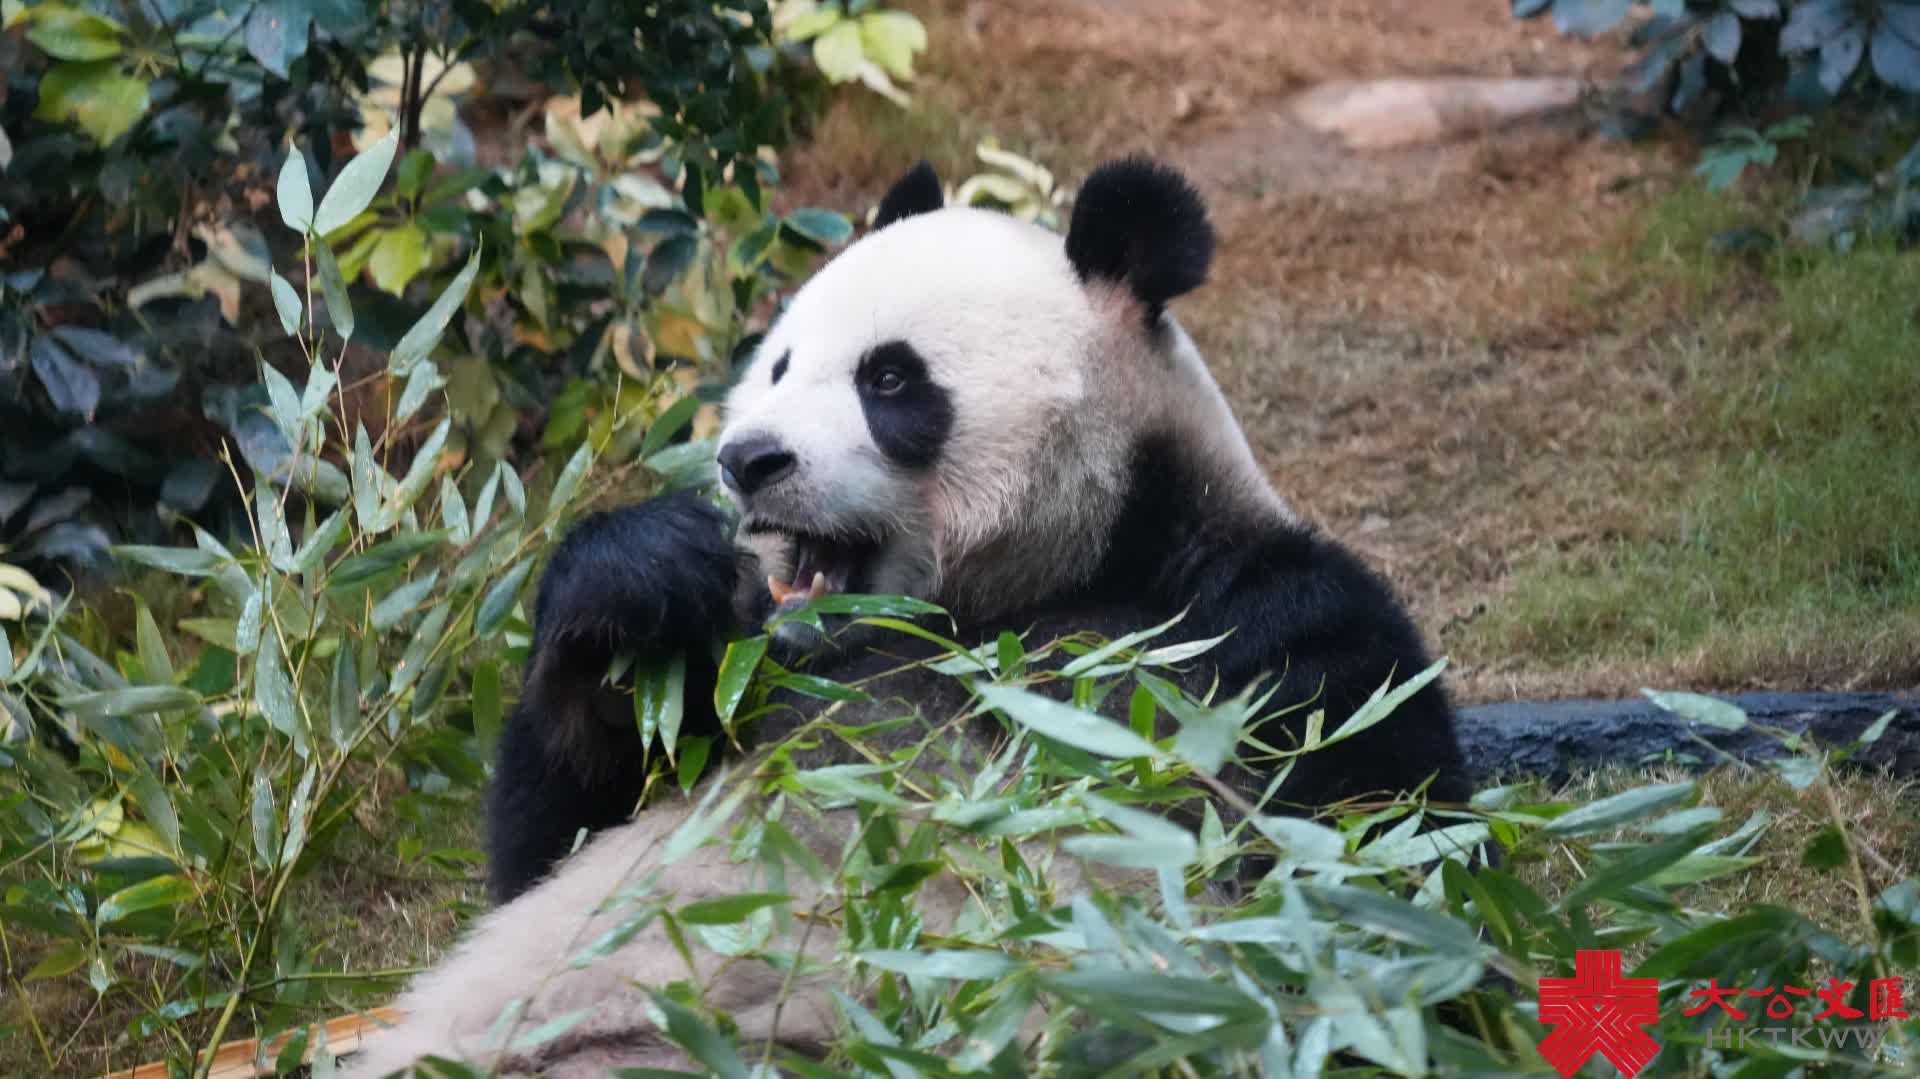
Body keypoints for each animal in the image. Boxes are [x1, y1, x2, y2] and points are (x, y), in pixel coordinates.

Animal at [345, 155, 1474, 1067]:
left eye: (890, 378)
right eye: (781, 364)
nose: (748, 458)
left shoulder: (1242, 630)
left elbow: (1383, 873)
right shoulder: (749, 684)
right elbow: (552, 834)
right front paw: (639, 579)